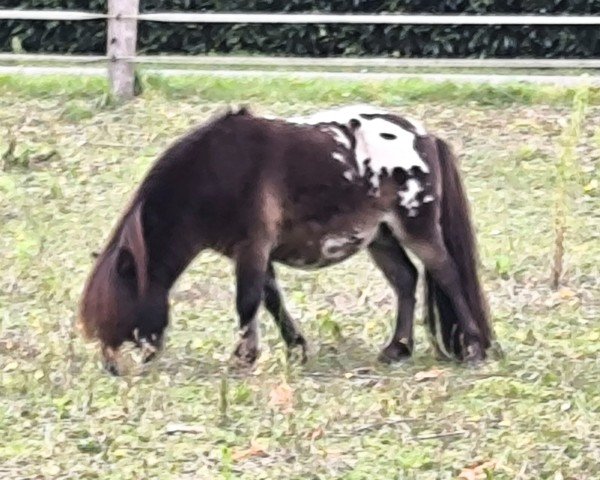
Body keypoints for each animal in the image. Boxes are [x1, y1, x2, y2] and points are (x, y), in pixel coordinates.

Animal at [78, 105, 492, 376]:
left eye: (119, 309)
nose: (112, 367)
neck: (213, 172)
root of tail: (426, 137)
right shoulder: (254, 253)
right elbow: (271, 300)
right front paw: (296, 349)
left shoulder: (252, 248)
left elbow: (247, 301)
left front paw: (242, 358)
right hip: (381, 237)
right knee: (406, 280)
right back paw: (397, 349)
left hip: (416, 230)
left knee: (447, 275)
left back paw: (474, 347)